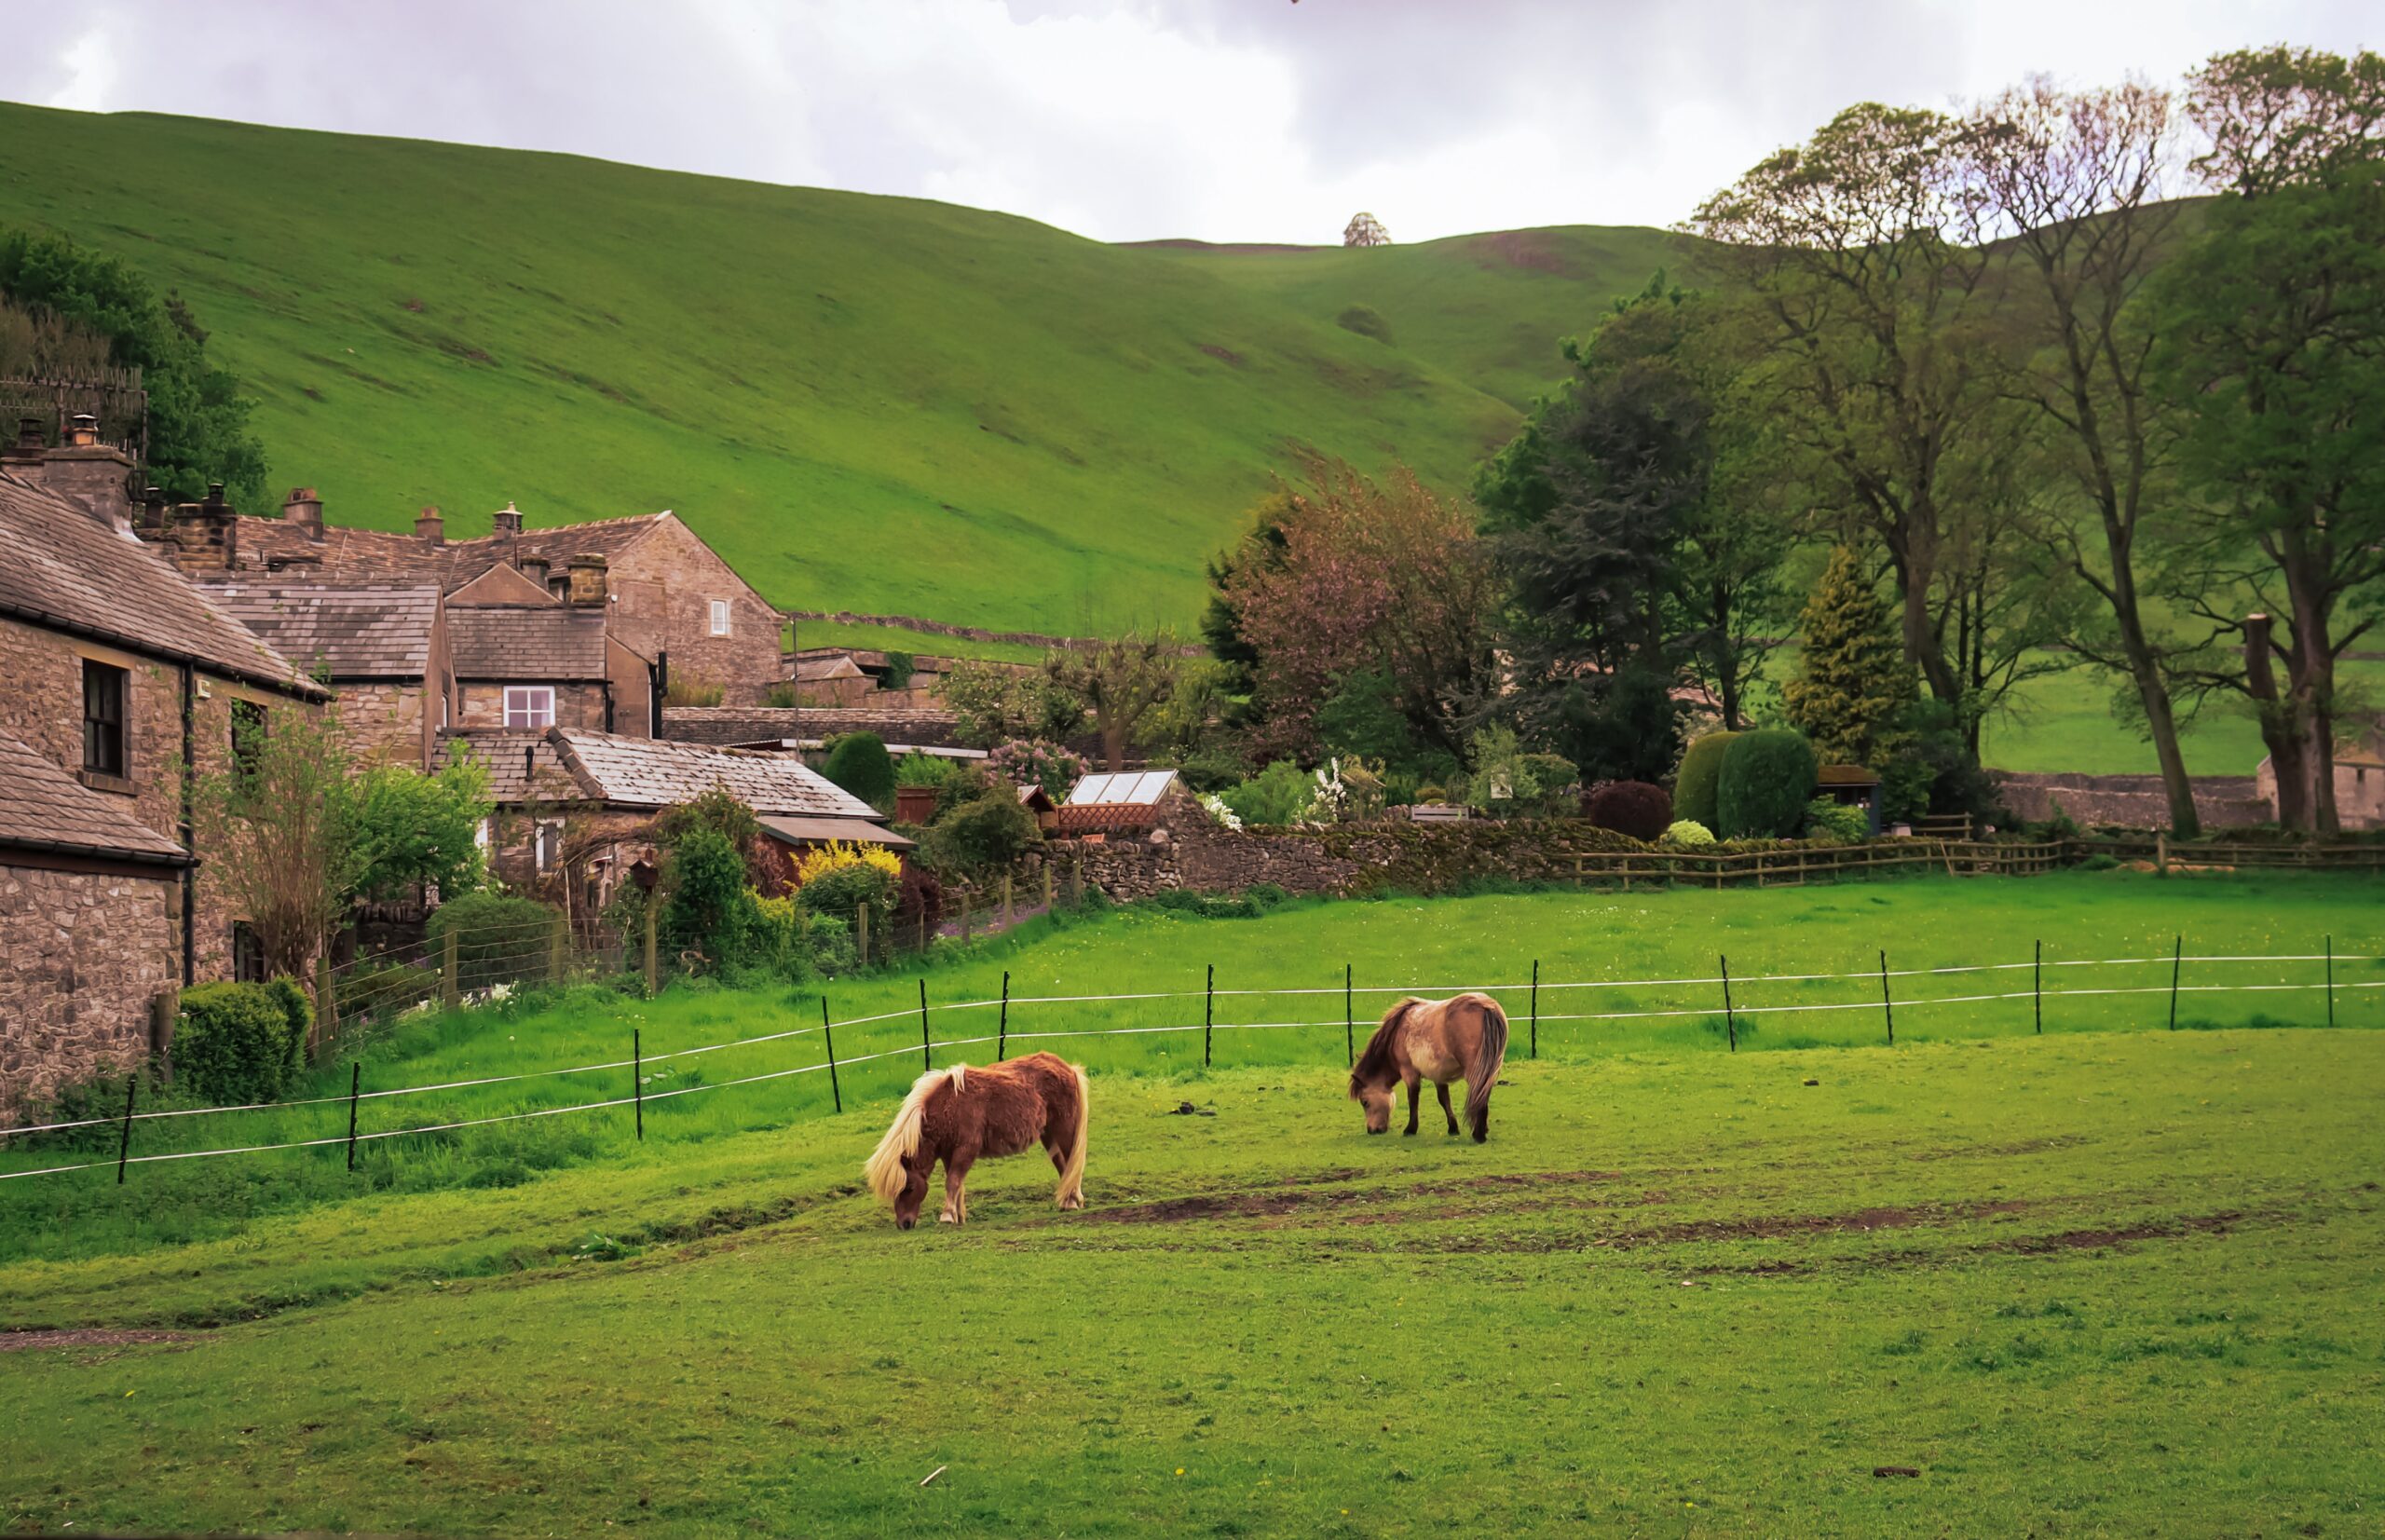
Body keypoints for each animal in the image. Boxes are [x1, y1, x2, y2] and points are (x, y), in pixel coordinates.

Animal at [863, 1048, 1087, 1230]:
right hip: (1049, 1136)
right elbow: (956, 1184)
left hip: (1064, 1132)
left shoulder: (966, 1149)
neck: (949, 1106)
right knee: (1063, 1167)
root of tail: (1068, 1068)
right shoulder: (949, 1153)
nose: (904, 1224)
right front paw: (958, 1215)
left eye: (909, 1188)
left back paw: (1074, 1200)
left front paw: (947, 1216)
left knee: (1072, 1164)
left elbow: (952, 1182)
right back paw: (1067, 1201)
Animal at [1355, 1001, 1497, 1144]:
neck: (1396, 1033)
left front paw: (1410, 1129)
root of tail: (1485, 1006)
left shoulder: (1409, 1072)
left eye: (1364, 1102)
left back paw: (1479, 1135)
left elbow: (1413, 1099)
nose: (1371, 1130)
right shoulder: (1439, 1075)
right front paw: (1453, 1128)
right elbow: (1444, 1099)